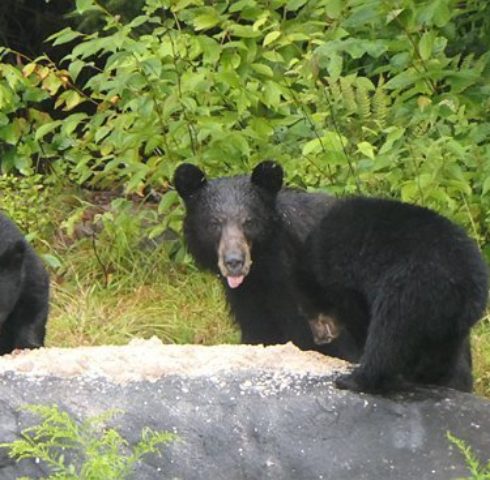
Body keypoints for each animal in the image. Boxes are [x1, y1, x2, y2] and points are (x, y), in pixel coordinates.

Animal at [296, 195, 488, 394]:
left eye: (307, 313)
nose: (318, 340)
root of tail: (466, 285)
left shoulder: (344, 276)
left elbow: (359, 314)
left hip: (411, 290)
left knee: (388, 335)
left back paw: (355, 380)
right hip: (453, 322)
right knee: (443, 347)